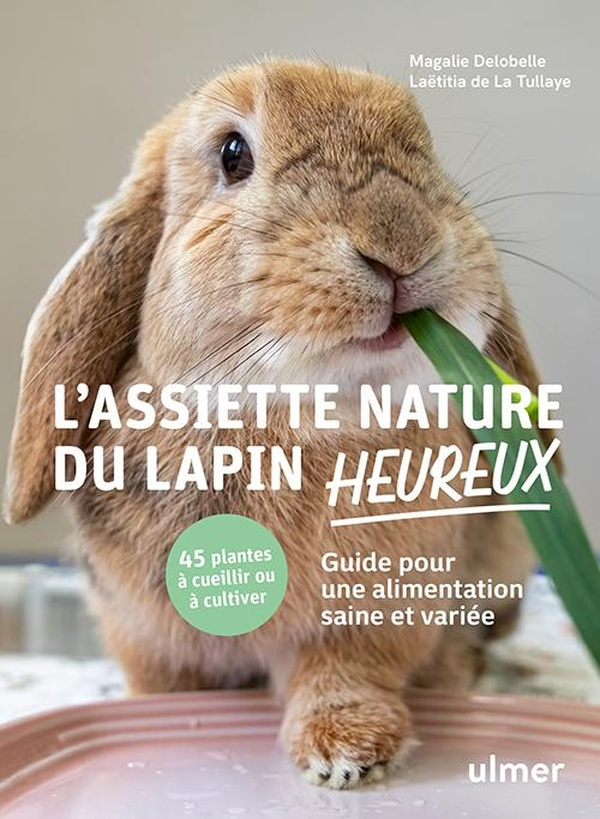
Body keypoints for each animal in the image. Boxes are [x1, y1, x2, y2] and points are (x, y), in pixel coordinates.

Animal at [4, 59, 558, 789]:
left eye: (425, 144)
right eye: (232, 154)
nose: (401, 239)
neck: (292, 420)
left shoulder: (371, 619)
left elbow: (346, 674)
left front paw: (349, 753)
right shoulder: (144, 638)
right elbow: (160, 689)